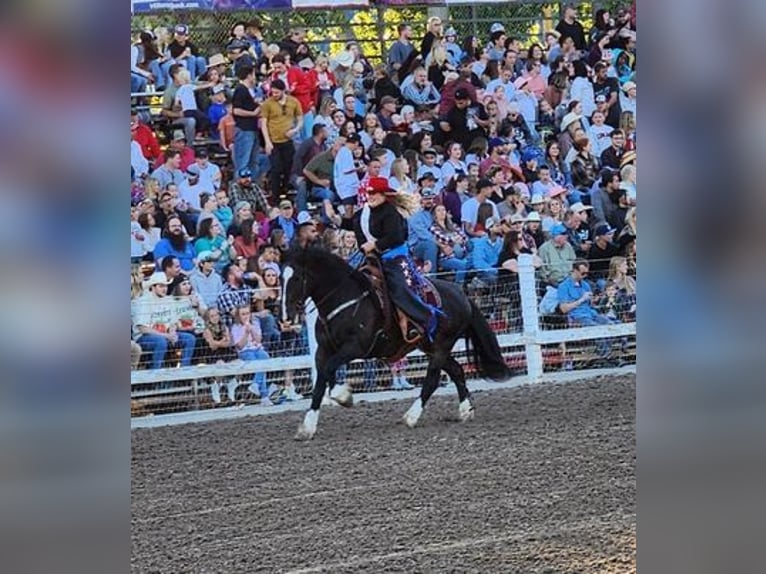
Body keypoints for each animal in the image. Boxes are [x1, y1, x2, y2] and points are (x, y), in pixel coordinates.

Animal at [280, 248, 510, 440]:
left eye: (297, 277)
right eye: (281, 278)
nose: (285, 318)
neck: (344, 299)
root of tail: (461, 294)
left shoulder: (355, 347)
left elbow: (329, 371)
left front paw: (344, 397)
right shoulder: (323, 350)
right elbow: (321, 381)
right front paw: (307, 427)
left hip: (441, 346)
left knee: (432, 379)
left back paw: (411, 417)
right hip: (430, 347)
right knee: (456, 370)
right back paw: (465, 411)